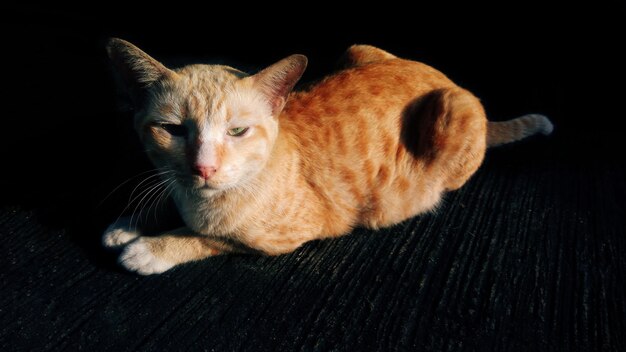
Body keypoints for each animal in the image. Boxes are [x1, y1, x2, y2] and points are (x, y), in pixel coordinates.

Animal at [103, 39, 552, 276]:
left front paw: (152, 248)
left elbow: (209, 236)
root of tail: (446, 78)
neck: (199, 199)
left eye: (237, 131)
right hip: (359, 49)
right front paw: (130, 224)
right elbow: (169, 204)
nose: (204, 167)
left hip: (452, 111)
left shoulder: (288, 235)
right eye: (175, 129)